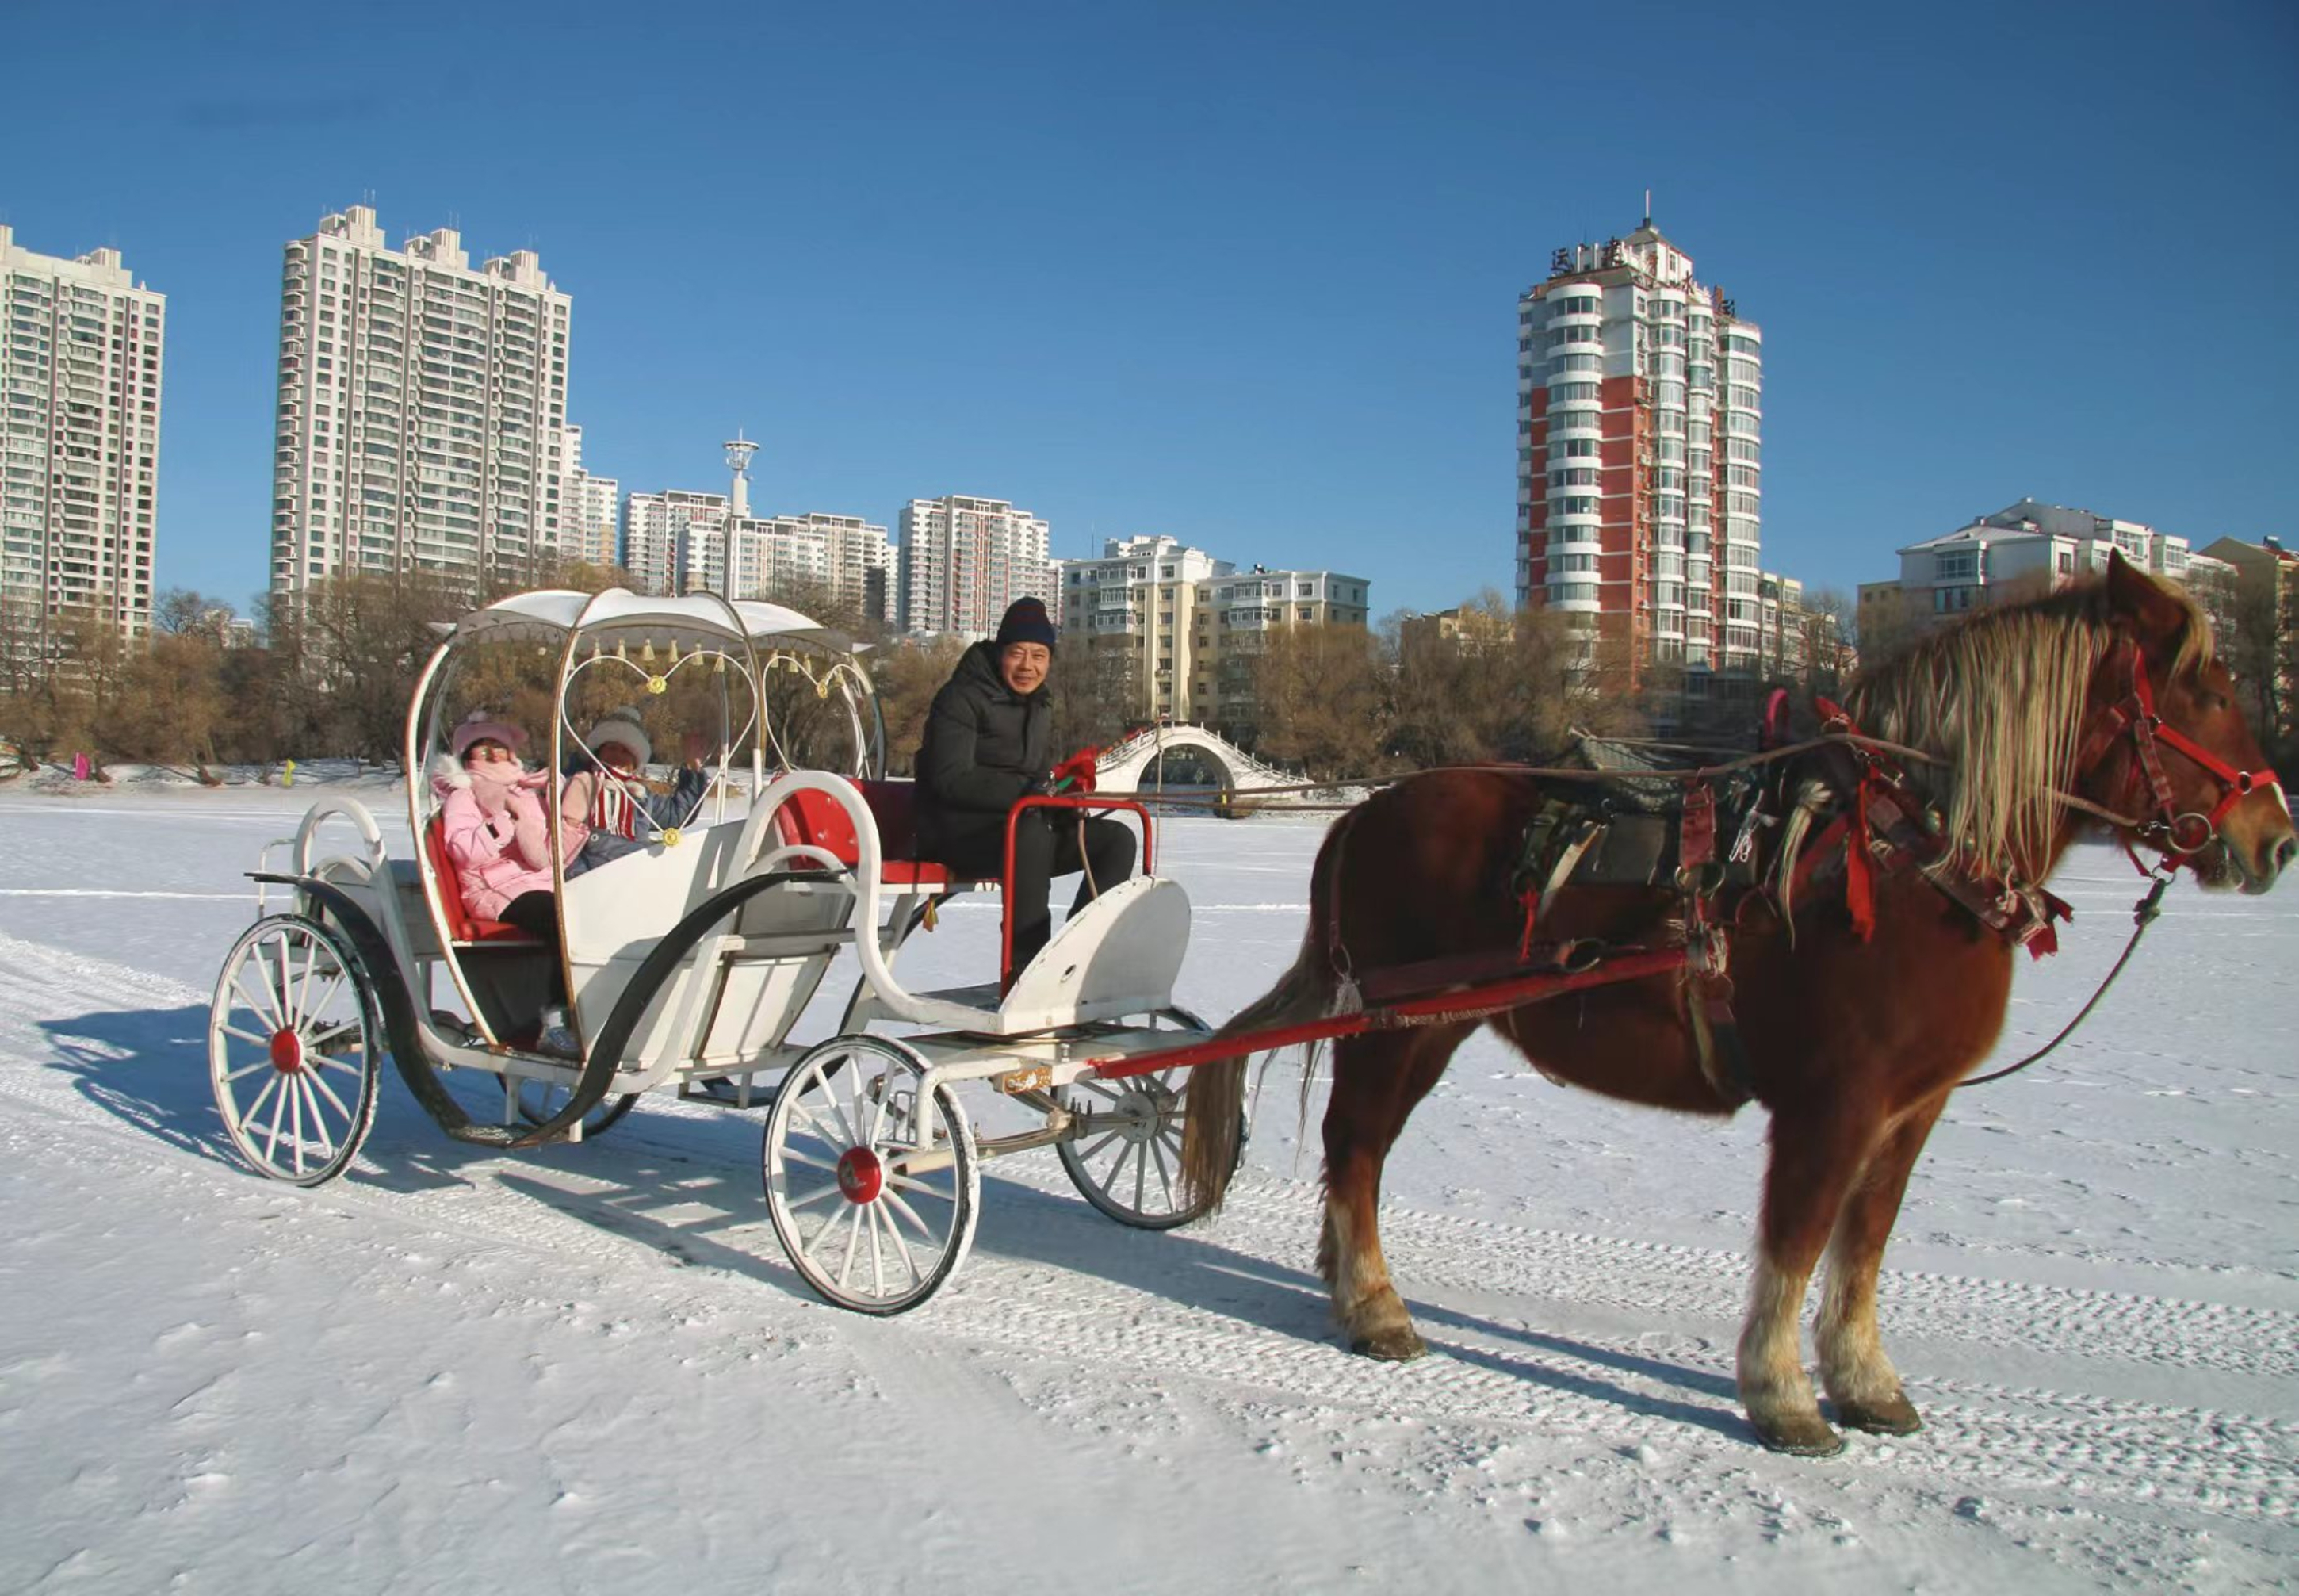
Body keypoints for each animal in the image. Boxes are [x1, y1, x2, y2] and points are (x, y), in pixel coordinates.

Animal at [1176, 554, 2289, 1462]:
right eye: (2208, 692)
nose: (2273, 839)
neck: (1905, 858)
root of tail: (1365, 807)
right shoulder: (1831, 1103)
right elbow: (1795, 1243)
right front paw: (1782, 1396)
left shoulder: (1911, 1108)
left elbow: (1863, 1246)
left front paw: (1863, 1382)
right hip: (1396, 1027)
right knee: (1355, 1147)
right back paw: (1373, 1306)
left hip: (1425, 1028)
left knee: (1355, 1155)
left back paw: (1343, 1284)